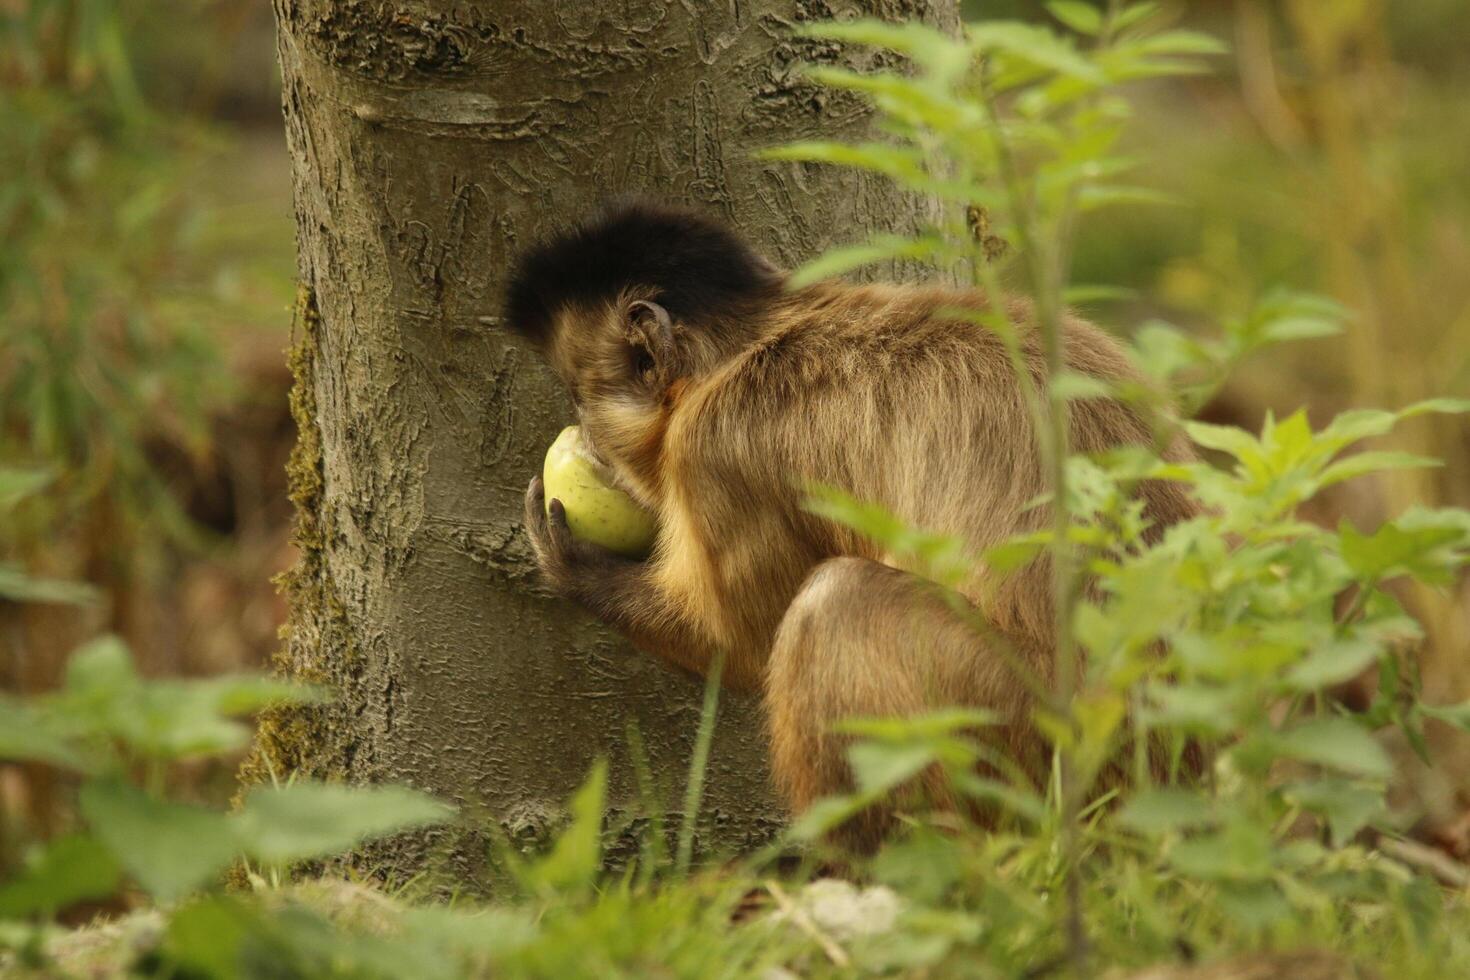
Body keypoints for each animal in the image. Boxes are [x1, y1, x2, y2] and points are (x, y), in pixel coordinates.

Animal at [505, 199, 1193, 852]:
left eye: (579, 398)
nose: (585, 433)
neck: (753, 343)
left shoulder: (714, 447)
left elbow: (741, 644)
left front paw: (576, 568)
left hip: (1049, 740)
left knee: (836, 603)